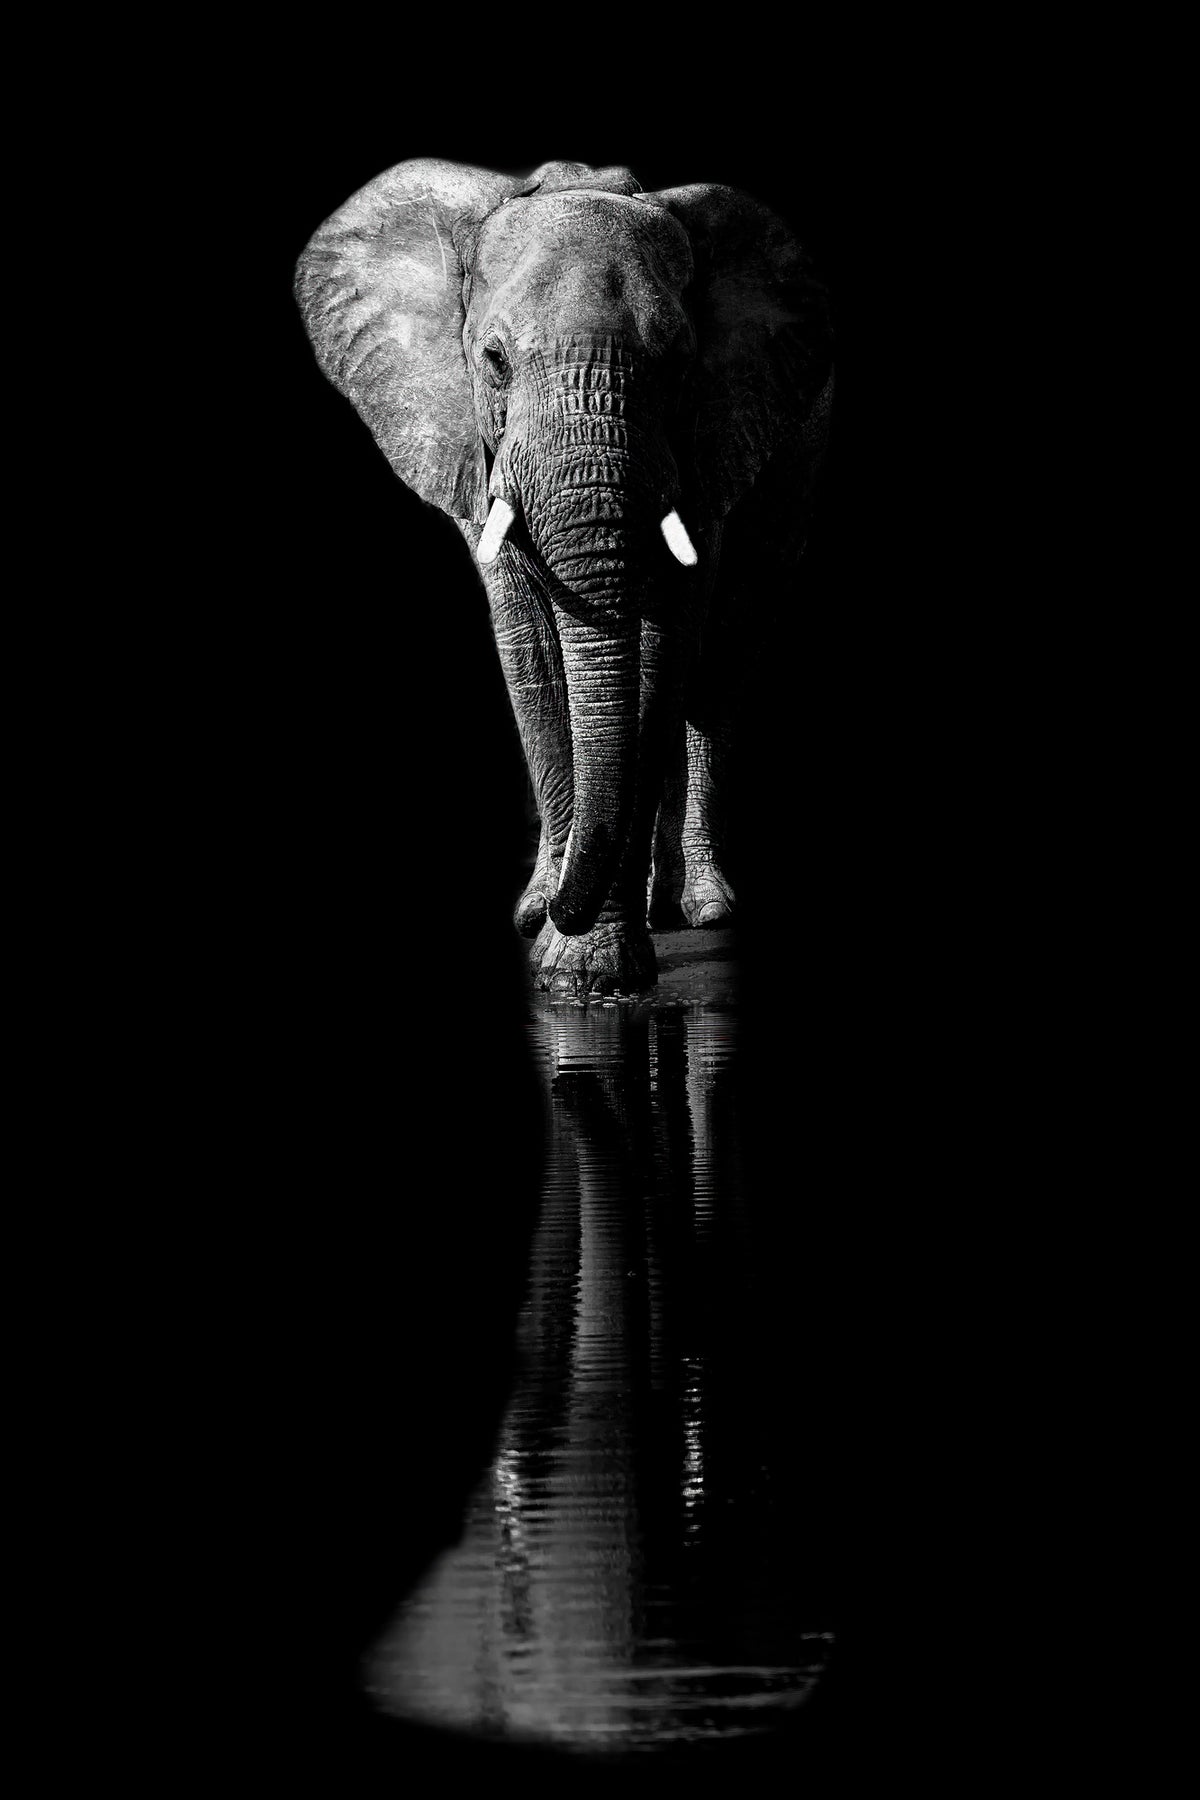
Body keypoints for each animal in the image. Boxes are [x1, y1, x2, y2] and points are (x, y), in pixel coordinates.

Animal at [295, 158, 832, 996]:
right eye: (493, 362)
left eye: (679, 363)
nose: (557, 913)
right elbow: (534, 654)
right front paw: (551, 934)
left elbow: (662, 654)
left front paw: (589, 972)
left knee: (720, 671)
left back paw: (700, 907)